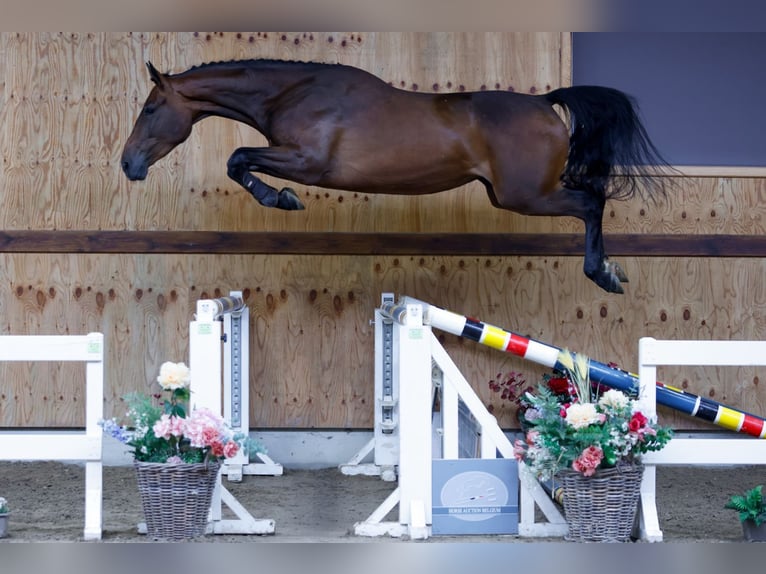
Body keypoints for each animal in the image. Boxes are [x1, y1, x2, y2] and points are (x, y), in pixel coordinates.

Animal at [120, 59, 672, 294]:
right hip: (511, 195)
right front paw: (280, 198)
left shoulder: (307, 162)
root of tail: (544, 103)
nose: (128, 165)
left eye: (150, 109)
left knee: (592, 203)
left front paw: (282, 199)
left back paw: (604, 274)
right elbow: (239, 160)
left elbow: (238, 158)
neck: (296, 92)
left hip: (526, 196)